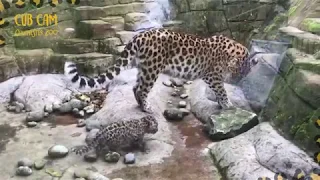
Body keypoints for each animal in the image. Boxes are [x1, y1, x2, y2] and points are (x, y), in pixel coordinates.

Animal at [64, 28, 258, 112]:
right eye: (240, 71)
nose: (238, 80)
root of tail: (139, 36)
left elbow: (219, 92)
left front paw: (221, 103)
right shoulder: (213, 76)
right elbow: (222, 90)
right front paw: (227, 104)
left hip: (144, 68)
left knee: (135, 87)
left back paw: (140, 105)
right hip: (152, 69)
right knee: (142, 89)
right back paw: (147, 107)